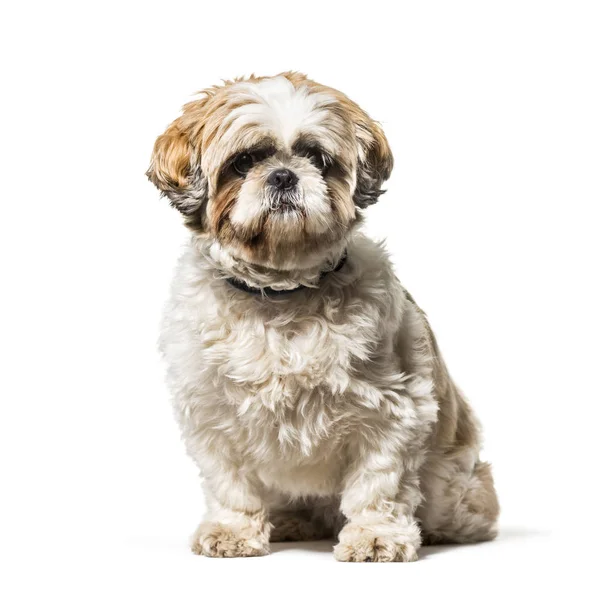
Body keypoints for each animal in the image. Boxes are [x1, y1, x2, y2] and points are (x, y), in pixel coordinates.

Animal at [148, 72, 500, 560]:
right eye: (244, 162)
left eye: (317, 157)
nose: (283, 174)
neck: (281, 295)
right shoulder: (213, 415)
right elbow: (230, 483)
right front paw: (232, 531)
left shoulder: (392, 412)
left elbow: (379, 484)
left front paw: (377, 535)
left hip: (451, 490)